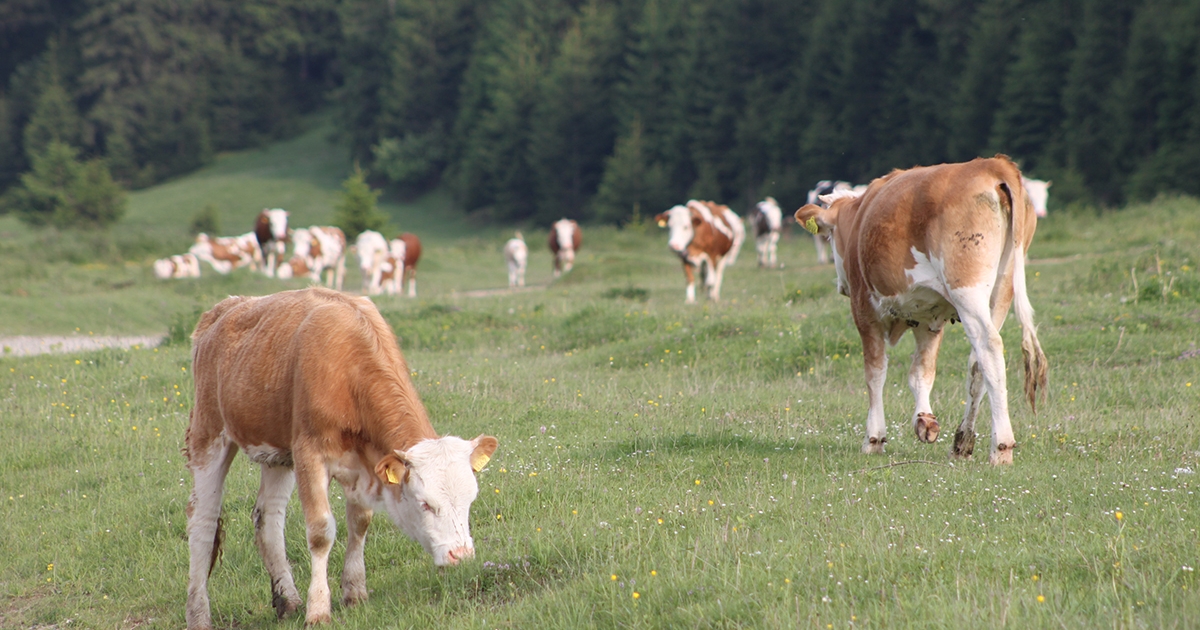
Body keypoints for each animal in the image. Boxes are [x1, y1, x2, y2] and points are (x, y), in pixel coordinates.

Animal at [181, 286, 496, 624]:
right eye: (425, 503)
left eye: (470, 500)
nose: (460, 555)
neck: (350, 370)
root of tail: (226, 307)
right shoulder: (309, 454)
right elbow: (321, 532)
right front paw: (318, 608)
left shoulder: (362, 464)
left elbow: (360, 522)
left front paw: (355, 590)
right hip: (208, 434)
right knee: (203, 522)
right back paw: (198, 614)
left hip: (277, 451)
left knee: (269, 516)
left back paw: (287, 600)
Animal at [801, 154, 1046, 463]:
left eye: (830, 236)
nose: (840, 284)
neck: (859, 217)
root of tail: (992, 164)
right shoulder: (930, 318)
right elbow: (921, 372)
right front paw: (924, 420)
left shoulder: (864, 312)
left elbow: (875, 373)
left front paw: (874, 438)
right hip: (1002, 290)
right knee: (977, 362)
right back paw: (963, 440)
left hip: (966, 287)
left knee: (989, 346)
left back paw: (1001, 446)